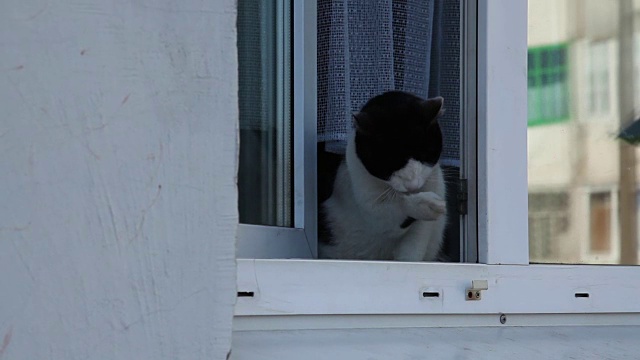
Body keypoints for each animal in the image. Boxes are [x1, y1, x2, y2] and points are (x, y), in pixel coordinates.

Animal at [318, 90, 448, 262]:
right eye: (389, 163)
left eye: (424, 155)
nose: (412, 184)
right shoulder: (363, 192)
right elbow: (383, 214)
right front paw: (425, 204)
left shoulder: (425, 215)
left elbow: (413, 248)